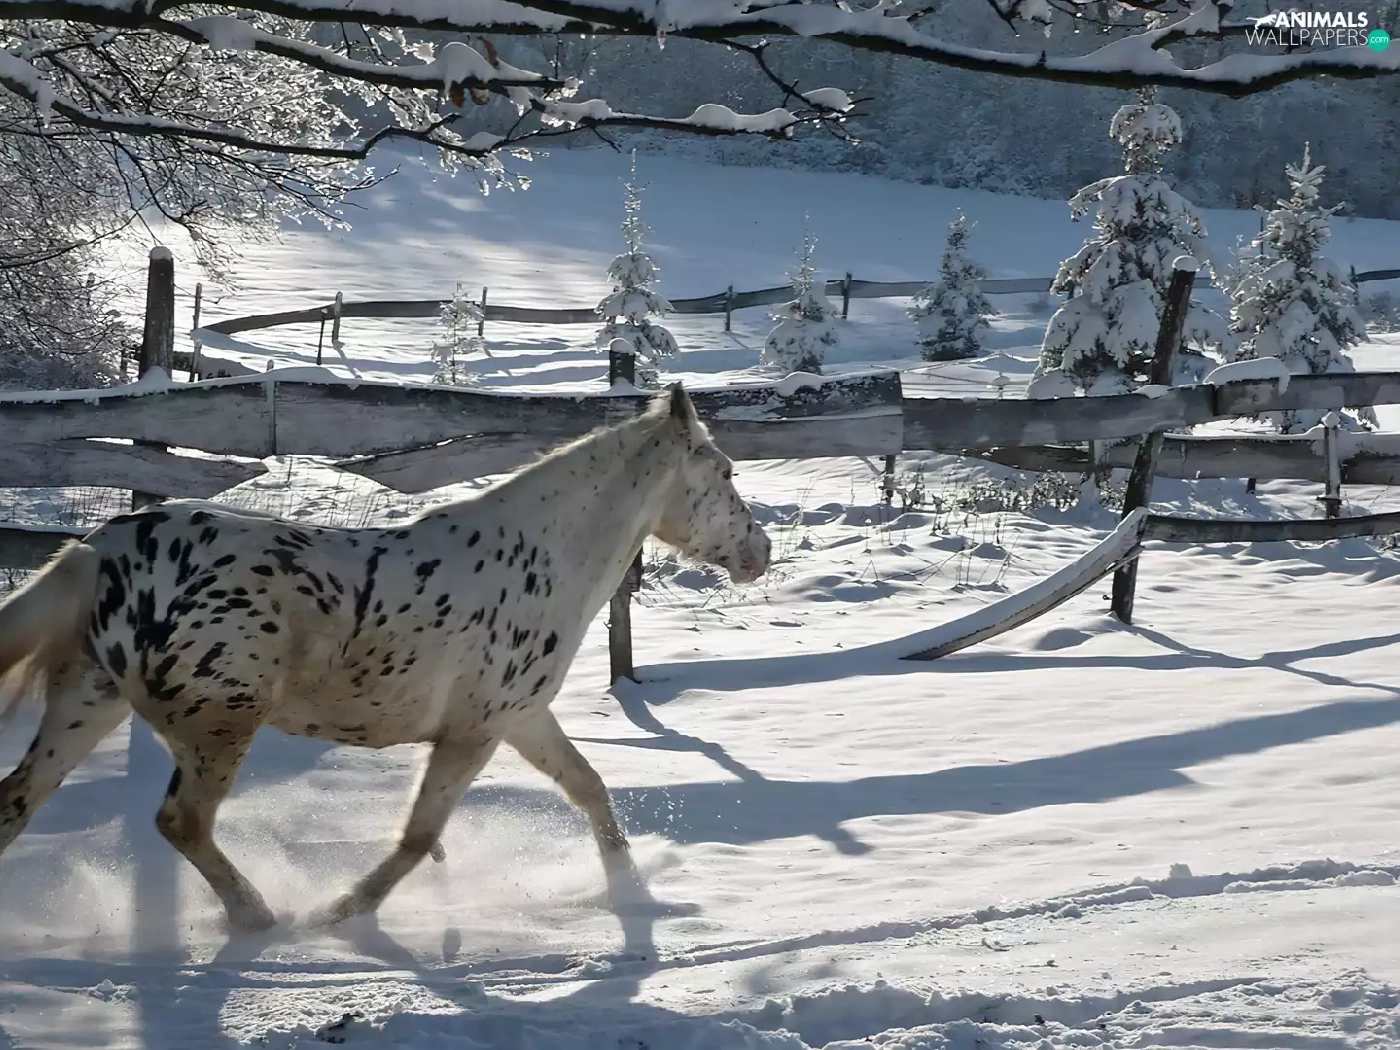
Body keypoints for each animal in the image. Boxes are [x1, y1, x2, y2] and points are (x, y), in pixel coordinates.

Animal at [0, 383, 771, 931]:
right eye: (727, 471)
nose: (760, 552)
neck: (543, 558)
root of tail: (103, 550)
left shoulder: (520, 718)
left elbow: (589, 788)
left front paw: (631, 891)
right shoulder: (473, 732)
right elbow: (418, 836)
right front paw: (343, 912)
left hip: (90, 701)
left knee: (16, 802)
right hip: (222, 723)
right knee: (180, 823)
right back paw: (261, 917)